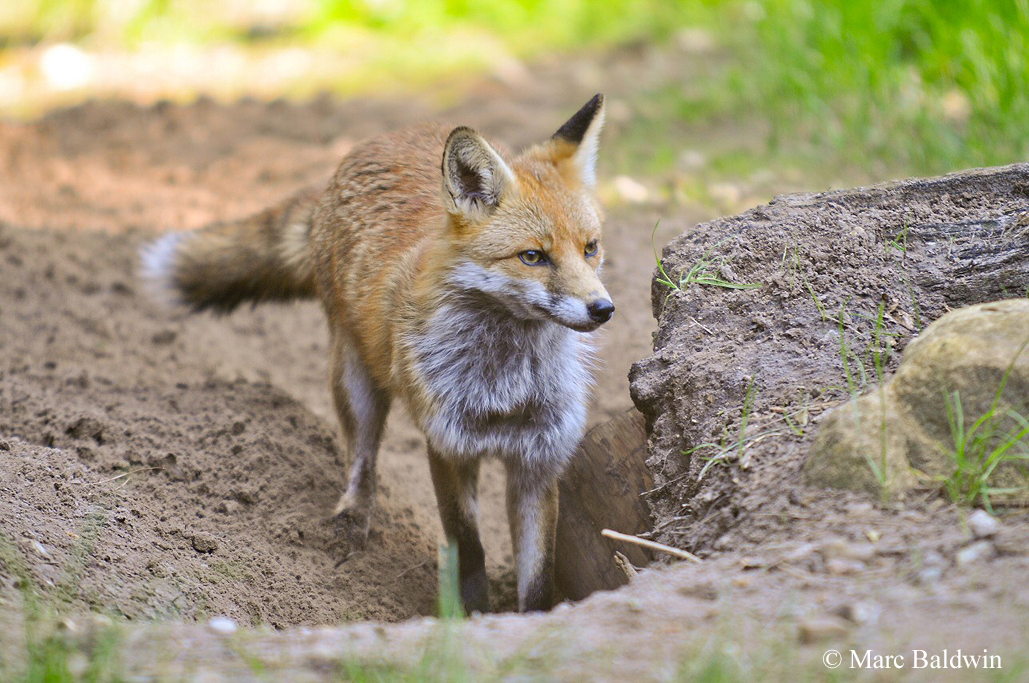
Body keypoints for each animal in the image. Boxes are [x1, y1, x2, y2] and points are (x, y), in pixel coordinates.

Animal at [144, 93, 609, 608]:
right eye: (533, 257)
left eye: (590, 249)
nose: (603, 308)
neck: (507, 384)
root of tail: (379, 139)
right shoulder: (447, 444)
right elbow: (468, 552)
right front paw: (469, 618)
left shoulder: (539, 460)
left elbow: (539, 580)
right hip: (354, 382)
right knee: (361, 460)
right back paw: (350, 523)